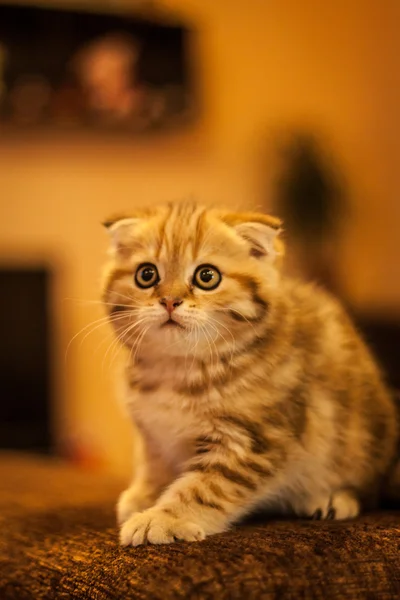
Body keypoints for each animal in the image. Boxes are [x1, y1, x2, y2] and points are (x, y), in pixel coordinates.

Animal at [101, 199, 398, 548]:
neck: (178, 368)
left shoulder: (253, 440)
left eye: (207, 276)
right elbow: (155, 463)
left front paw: (162, 518)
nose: (170, 301)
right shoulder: (153, 432)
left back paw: (333, 498)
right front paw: (145, 496)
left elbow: (206, 487)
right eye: (146, 275)